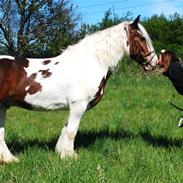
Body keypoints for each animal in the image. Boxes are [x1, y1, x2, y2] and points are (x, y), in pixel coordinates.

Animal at [0, 15, 157, 163]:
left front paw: (63, 152)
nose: (154, 63)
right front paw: (69, 157)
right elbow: (72, 131)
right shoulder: (78, 105)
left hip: (3, 106)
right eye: (142, 38)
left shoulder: (77, 106)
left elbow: (66, 128)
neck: (90, 62)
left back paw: (9, 159)